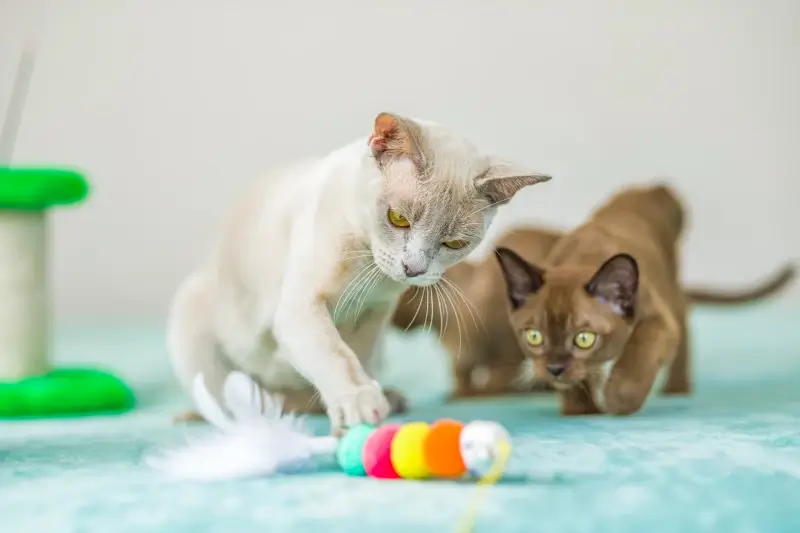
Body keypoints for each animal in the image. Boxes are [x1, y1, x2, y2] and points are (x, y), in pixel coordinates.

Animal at [168, 113, 552, 432]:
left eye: (454, 243)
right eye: (398, 219)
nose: (413, 269)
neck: (368, 270)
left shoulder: (372, 318)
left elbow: (356, 358)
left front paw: (360, 414)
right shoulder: (300, 307)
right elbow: (335, 355)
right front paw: (359, 403)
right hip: (194, 321)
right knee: (238, 399)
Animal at [390, 185, 792, 410]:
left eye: (584, 338)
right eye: (534, 337)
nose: (554, 367)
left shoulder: (655, 322)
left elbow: (633, 362)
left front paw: (617, 400)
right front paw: (579, 409)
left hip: (672, 303)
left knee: (683, 332)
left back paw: (676, 390)